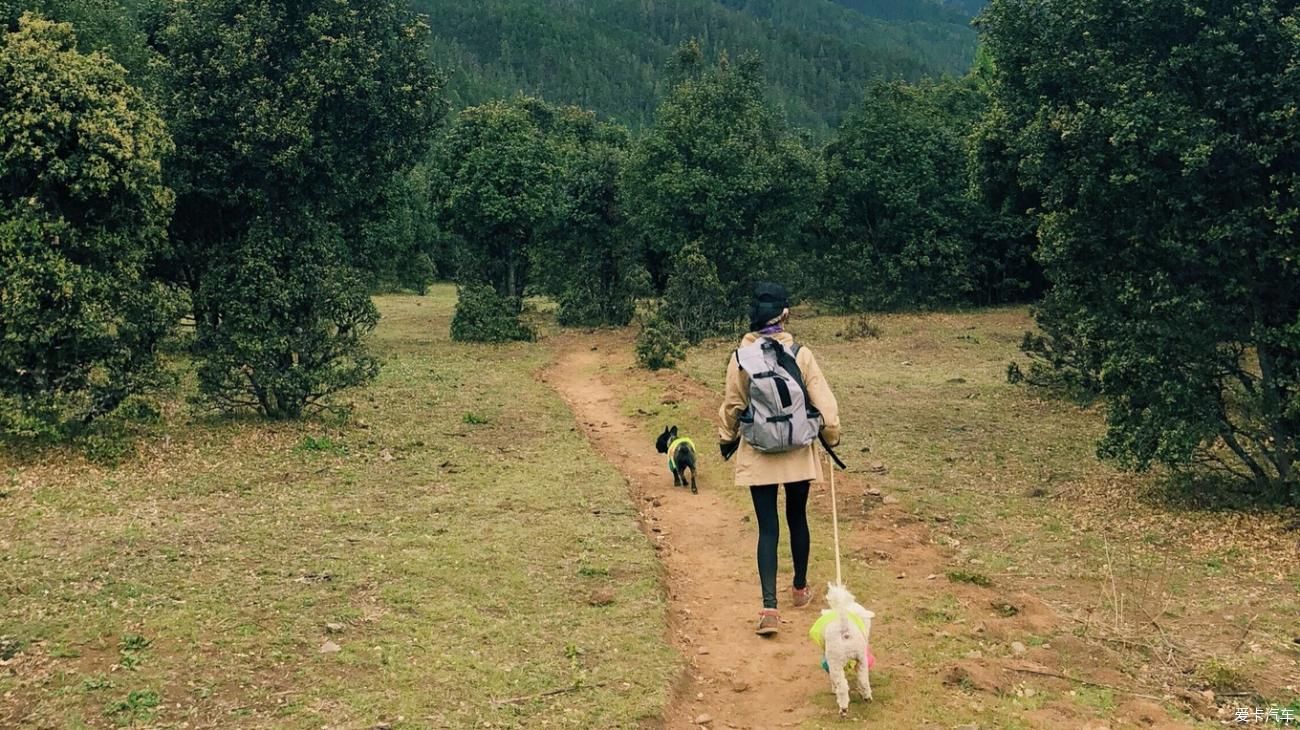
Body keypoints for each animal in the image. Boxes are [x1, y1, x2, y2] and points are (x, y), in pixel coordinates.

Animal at [806, 581, 878, 711]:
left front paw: (833, 689)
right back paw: (867, 697)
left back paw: (843, 708)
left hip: (836, 662)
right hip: (861, 659)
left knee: (843, 686)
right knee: (863, 679)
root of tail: (845, 629)